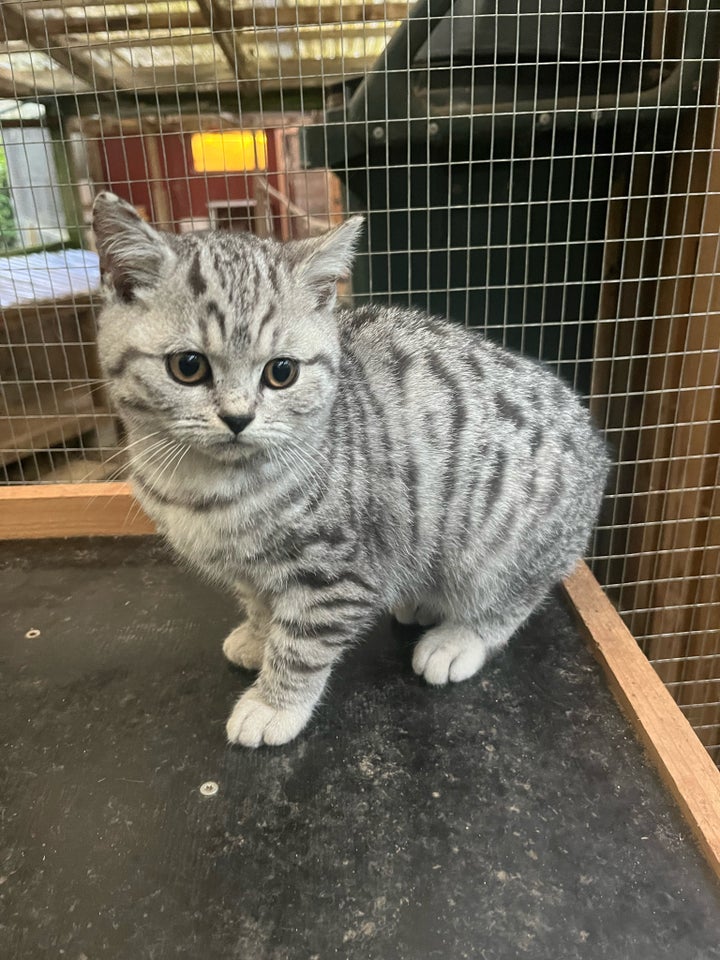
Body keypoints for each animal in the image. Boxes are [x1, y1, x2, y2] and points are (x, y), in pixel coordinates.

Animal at [90, 191, 608, 752]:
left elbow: (303, 643)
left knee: (513, 596)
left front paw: (274, 702)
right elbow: (259, 602)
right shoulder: (250, 569)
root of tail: (597, 447)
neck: (205, 487)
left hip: (502, 542)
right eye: (188, 366)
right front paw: (258, 635)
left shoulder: (340, 571)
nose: (238, 418)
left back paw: (459, 637)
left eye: (282, 372)